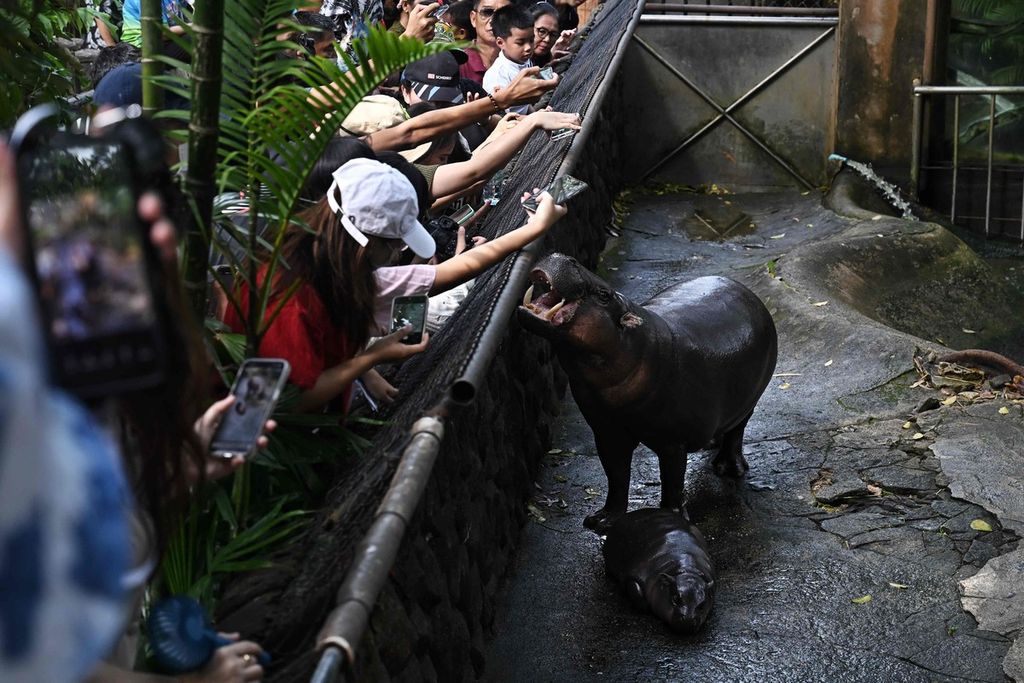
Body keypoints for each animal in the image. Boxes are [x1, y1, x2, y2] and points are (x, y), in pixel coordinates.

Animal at [520, 253, 774, 532]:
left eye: (604, 294)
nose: (563, 256)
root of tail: (747, 291)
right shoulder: (608, 432)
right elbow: (616, 477)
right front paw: (601, 520)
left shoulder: (673, 442)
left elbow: (672, 481)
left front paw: (671, 517)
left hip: (750, 399)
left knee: (737, 431)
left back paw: (729, 468)